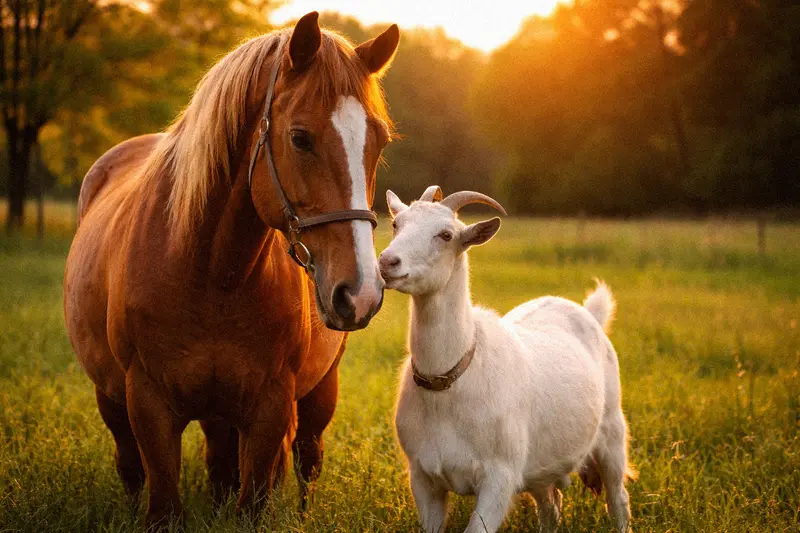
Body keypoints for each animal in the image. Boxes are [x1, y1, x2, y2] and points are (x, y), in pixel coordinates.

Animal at [63, 12, 399, 526]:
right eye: (300, 138)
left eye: (378, 143)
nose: (359, 293)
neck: (212, 273)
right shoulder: (148, 405)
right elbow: (163, 502)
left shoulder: (271, 406)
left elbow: (254, 498)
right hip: (115, 399)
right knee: (137, 467)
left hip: (319, 392)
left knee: (306, 460)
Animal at [379, 186, 633, 533]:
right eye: (396, 224)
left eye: (446, 235)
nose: (387, 261)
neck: (450, 380)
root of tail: (588, 311)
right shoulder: (423, 477)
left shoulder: (499, 478)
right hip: (541, 465)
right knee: (550, 505)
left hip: (611, 431)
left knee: (617, 498)